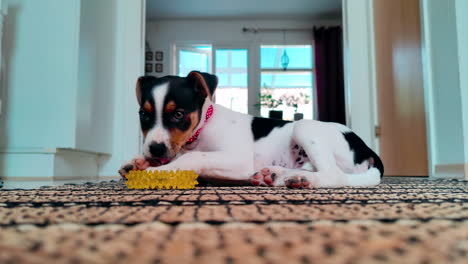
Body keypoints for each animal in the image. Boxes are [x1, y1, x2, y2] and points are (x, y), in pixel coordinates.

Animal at [118, 71, 384, 189]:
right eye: (143, 115)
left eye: (178, 114)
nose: (154, 150)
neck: (200, 130)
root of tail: (365, 147)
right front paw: (138, 162)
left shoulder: (238, 158)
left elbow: (193, 157)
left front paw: (156, 171)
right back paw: (276, 175)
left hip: (305, 126)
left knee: (333, 175)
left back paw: (302, 179)